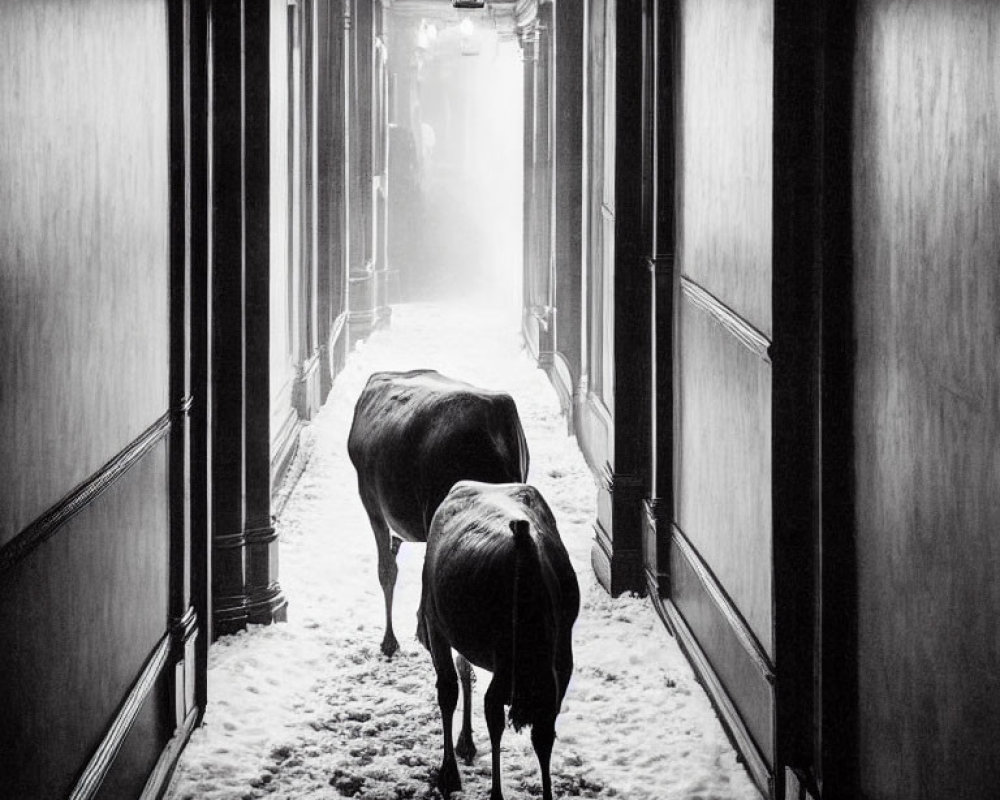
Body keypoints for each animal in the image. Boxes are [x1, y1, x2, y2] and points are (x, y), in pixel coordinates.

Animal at [418, 482, 584, 800]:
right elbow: (501, 721)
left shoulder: (556, 670)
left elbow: (540, 734)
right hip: (439, 626)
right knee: (450, 689)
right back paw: (451, 769)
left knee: (455, 685)